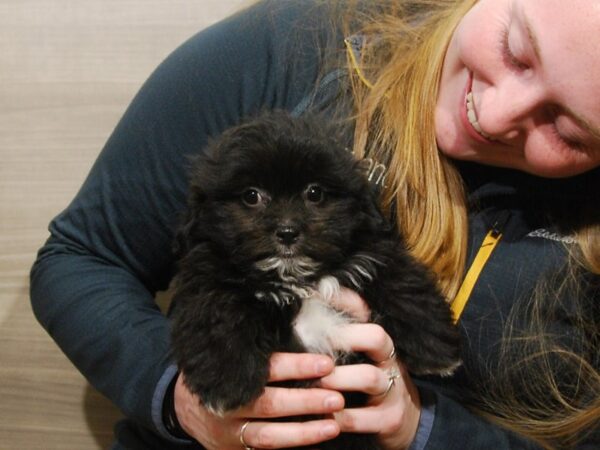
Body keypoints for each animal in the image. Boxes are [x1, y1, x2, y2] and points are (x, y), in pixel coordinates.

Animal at [169, 110, 460, 448]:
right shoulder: (207, 273)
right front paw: (226, 382)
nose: (287, 232)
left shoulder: (371, 251)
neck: (298, 280)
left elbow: (402, 280)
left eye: (315, 193)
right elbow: (219, 310)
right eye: (251, 196)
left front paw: (436, 348)